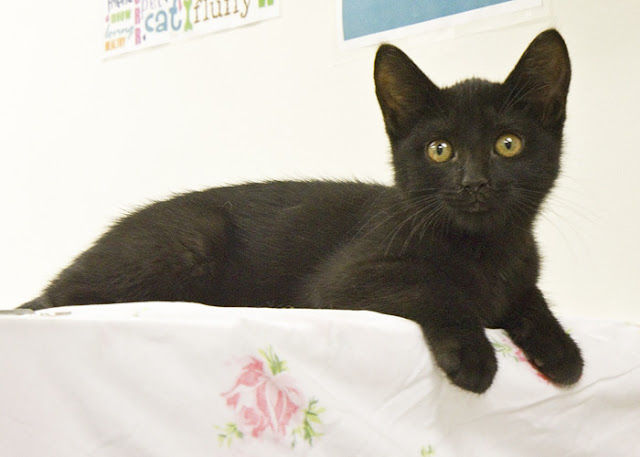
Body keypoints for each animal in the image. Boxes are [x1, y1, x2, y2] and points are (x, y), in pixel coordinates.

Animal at [21, 29, 583, 394]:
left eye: (507, 144)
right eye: (439, 150)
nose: (474, 183)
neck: (485, 249)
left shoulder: (518, 273)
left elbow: (528, 297)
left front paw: (560, 349)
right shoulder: (340, 284)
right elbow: (434, 287)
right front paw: (472, 354)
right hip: (192, 236)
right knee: (67, 297)